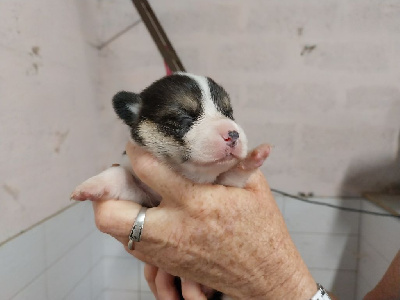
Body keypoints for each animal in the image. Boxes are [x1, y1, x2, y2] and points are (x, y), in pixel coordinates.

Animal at [72, 72, 272, 300]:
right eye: (183, 118)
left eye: (229, 113)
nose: (233, 134)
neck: (190, 174)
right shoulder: (143, 194)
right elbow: (121, 176)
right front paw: (93, 184)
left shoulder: (227, 184)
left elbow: (233, 174)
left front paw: (252, 158)